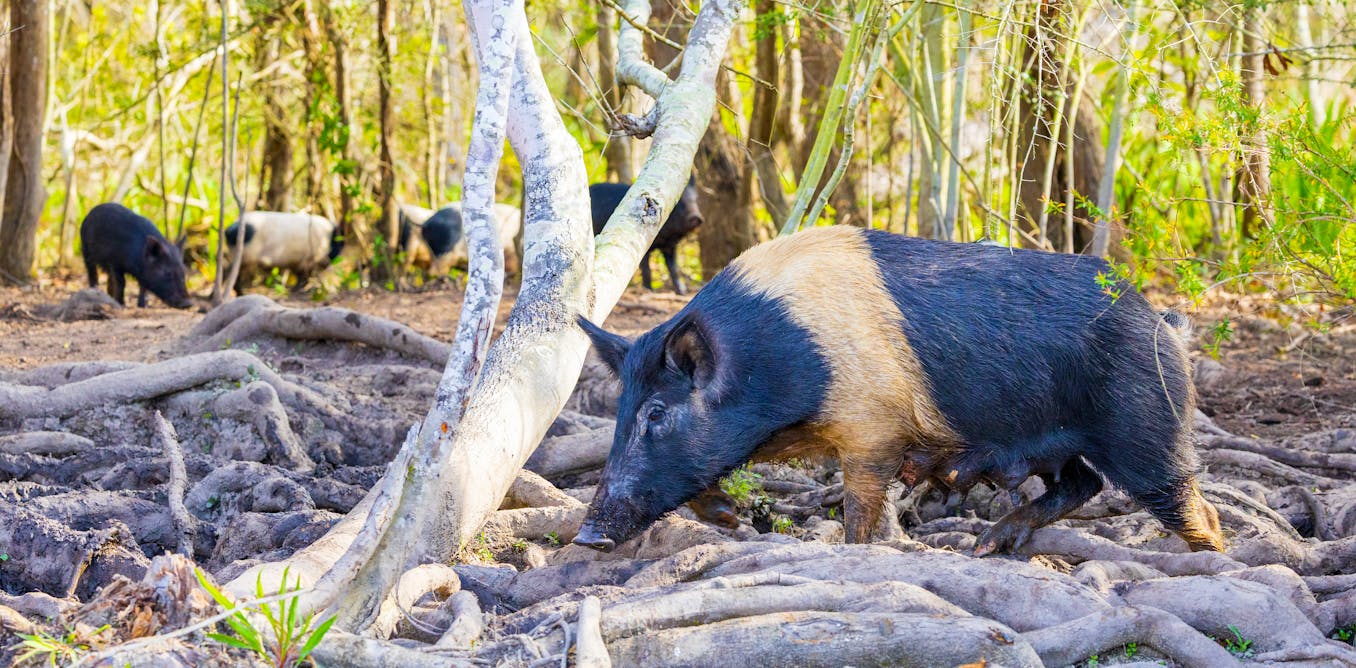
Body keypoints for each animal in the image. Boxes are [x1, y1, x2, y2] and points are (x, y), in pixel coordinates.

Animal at [574, 225, 1225, 556]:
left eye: (657, 414)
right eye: (621, 413)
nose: (586, 535)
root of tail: (1164, 320)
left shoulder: (872, 429)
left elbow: (863, 507)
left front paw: (856, 551)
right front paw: (731, 518)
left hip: (1147, 427)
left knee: (1192, 503)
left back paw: (1205, 559)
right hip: (1062, 443)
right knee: (1082, 483)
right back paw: (989, 546)